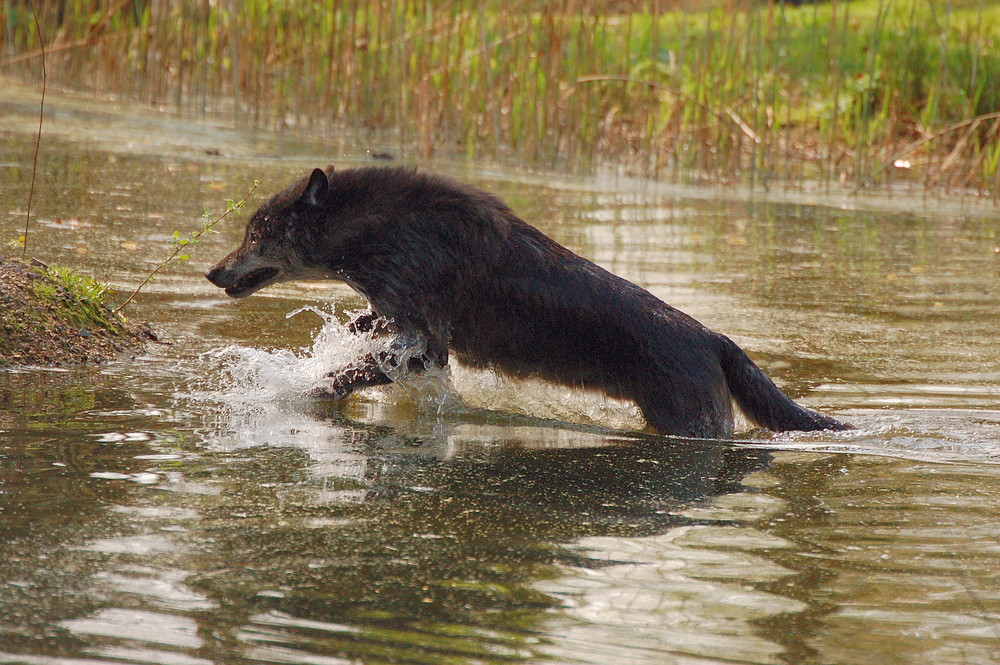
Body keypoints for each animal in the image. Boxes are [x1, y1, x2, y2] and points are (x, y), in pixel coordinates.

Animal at [207, 165, 848, 436]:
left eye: (257, 234)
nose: (212, 273)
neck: (385, 227)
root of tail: (716, 338)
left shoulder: (425, 347)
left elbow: (340, 377)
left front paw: (294, 393)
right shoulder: (405, 327)